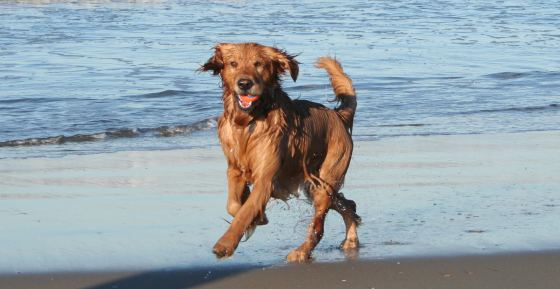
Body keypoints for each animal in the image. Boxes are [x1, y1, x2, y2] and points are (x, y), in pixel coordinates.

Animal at [199, 42, 360, 260]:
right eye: (233, 64)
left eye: (258, 64)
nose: (244, 83)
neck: (248, 123)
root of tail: (338, 116)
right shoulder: (234, 169)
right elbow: (233, 206)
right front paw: (258, 217)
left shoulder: (266, 179)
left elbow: (245, 212)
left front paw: (225, 244)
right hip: (314, 183)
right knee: (348, 204)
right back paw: (351, 240)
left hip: (326, 180)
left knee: (319, 227)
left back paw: (301, 251)